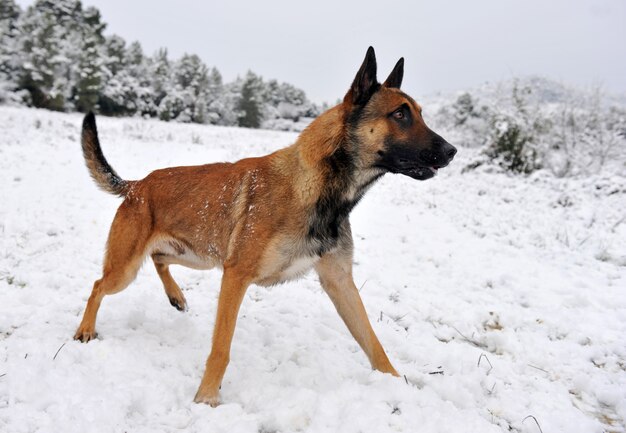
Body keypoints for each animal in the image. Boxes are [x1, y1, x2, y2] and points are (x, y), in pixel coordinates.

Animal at [73, 47, 456, 404]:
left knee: (158, 259)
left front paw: (397, 384)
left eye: (419, 113)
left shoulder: (340, 282)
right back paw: (85, 330)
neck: (318, 188)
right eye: (400, 114)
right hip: (128, 269)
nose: (453, 151)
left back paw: (175, 296)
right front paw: (207, 398)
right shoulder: (236, 276)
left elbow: (374, 343)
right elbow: (221, 348)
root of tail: (137, 185)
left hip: (197, 257)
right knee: (97, 285)